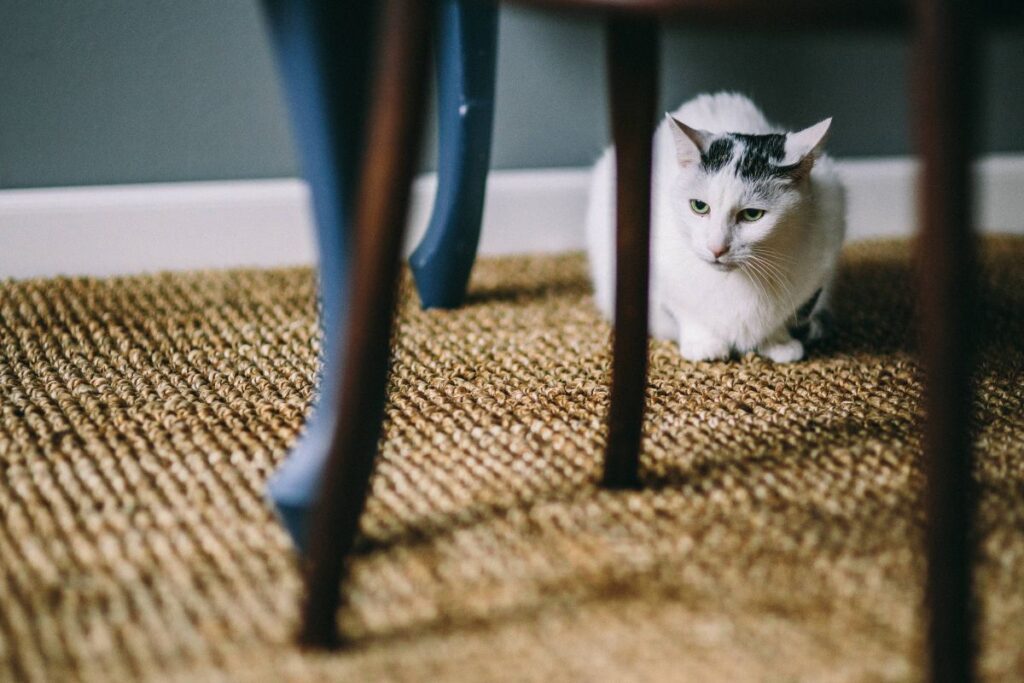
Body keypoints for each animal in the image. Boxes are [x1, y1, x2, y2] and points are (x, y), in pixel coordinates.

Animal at [589, 94, 843, 368]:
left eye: (752, 214)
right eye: (699, 206)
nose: (717, 248)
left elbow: (785, 317)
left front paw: (778, 342)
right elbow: (685, 311)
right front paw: (704, 344)